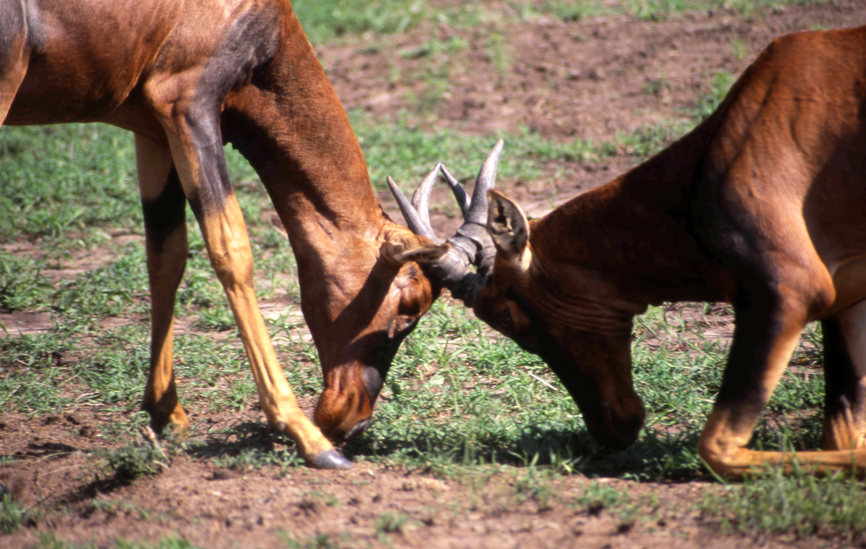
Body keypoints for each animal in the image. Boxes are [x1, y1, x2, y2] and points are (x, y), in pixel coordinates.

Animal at [0, 0, 472, 468]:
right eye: (409, 307)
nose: (351, 424)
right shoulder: (187, 103)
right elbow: (232, 248)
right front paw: (305, 436)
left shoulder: (152, 130)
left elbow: (166, 254)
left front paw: (166, 415)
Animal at [394, 25, 864, 478]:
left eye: (507, 317)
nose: (612, 429)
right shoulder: (845, 300)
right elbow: (842, 433)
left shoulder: (788, 292)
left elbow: (717, 448)